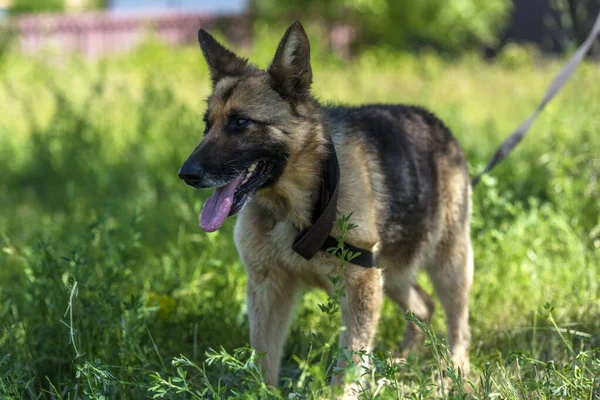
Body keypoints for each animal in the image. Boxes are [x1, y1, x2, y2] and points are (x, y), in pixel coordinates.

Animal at [178, 21, 474, 394]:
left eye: (240, 122)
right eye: (207, 125)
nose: (186, 174)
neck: (299, 204)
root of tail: (435, 121)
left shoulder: (360, 285)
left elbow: (349, 366)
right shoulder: (268, 287)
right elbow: (264, 360)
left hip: (448, 264)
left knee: (458, 327)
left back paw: (454, 374)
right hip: (389, 272)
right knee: (423, 306)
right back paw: (398, 365)